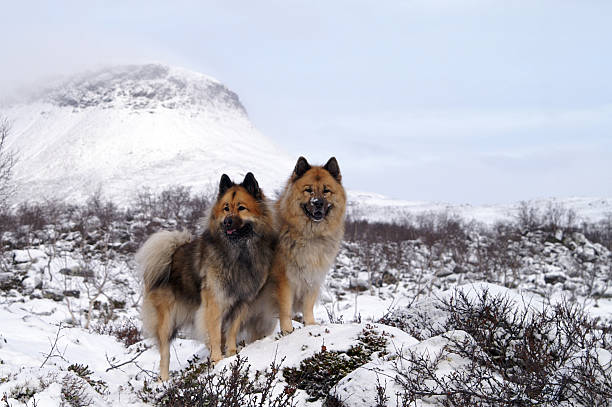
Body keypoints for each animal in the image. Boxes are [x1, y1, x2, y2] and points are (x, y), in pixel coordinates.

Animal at [137, 173, 276, 382]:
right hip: (166, 322)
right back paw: (164, 380)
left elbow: (232, 332)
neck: (238, 253)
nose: (227, 222)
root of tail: (171, 255)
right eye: (226, 208)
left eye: (241, 207)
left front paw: (232, 355)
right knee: (165, 353)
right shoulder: (214, 304)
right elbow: (216, 336)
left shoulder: (241, 304)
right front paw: (218, 360)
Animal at [245, 156, 350, 338]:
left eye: (326, 191)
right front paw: (287, 331)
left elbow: (308, 307)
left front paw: (310, 325)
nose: (317, 203)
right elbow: (286, 309)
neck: (310, 235)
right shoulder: (286, 280)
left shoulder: (312, 277)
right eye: (308, 190)